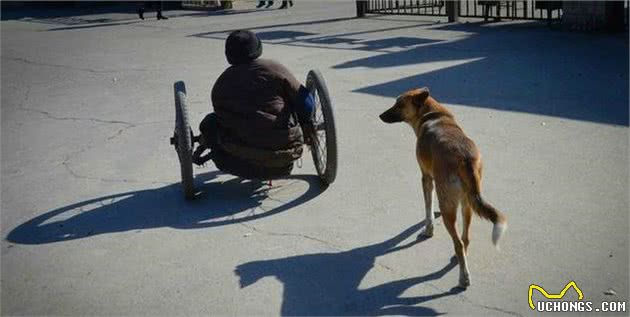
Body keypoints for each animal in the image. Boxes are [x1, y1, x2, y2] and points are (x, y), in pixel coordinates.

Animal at [380, 87, 508, 288]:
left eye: (399, 105)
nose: (380, 116)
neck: (432, 115)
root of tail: (465, 158)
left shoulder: (426, 177)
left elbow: (427, 208)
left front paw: (428, 230)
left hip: (451, 207)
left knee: (458, 243)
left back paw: (464, 277)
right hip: (467, 203)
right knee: (465, 239)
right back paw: (460, 260)